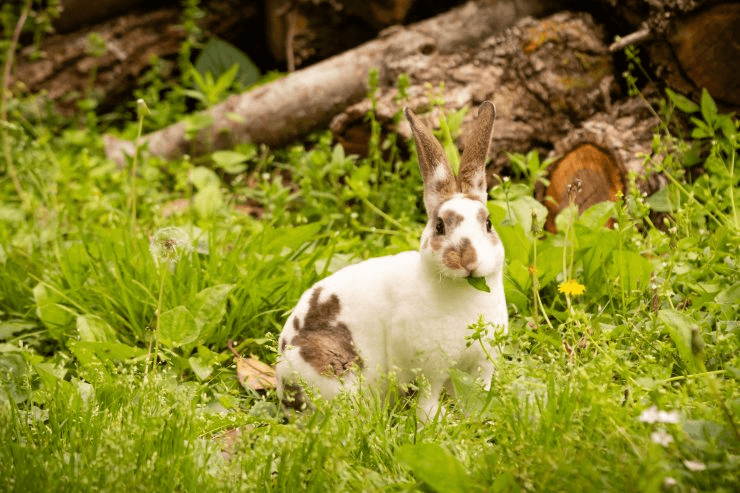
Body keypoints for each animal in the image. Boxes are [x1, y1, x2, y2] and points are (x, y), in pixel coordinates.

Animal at [274, 101, 506, 418]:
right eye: (439, 226)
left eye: (489, 223)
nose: (467, 259)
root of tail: (281, 382)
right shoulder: (430, 367)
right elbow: (429, 396)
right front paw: (433, 420)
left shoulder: (483, 362)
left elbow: (480, 389)